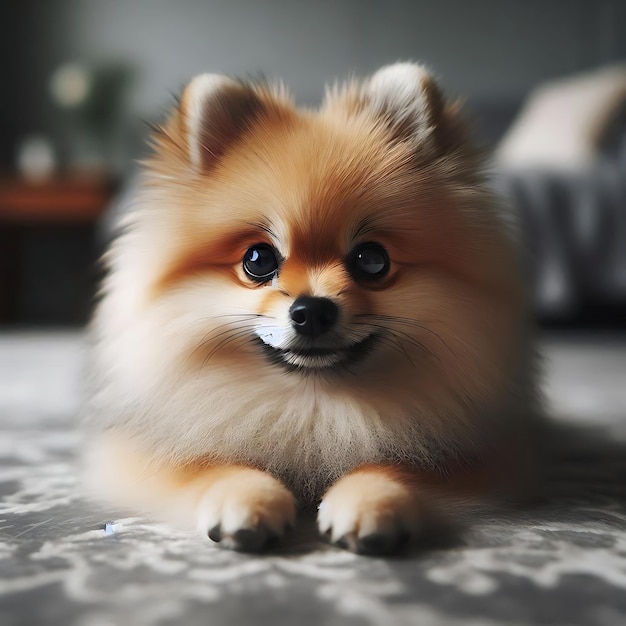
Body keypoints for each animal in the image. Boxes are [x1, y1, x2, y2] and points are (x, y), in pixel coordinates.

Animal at [86, 62, 536, 552]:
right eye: (258, 260)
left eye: (372, 260)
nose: (313, 310)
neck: (314, 407)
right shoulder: (146, 453)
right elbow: (206, 463)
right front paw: (244, 496)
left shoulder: (475, 455)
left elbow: (404, 462)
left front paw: (371, 498)